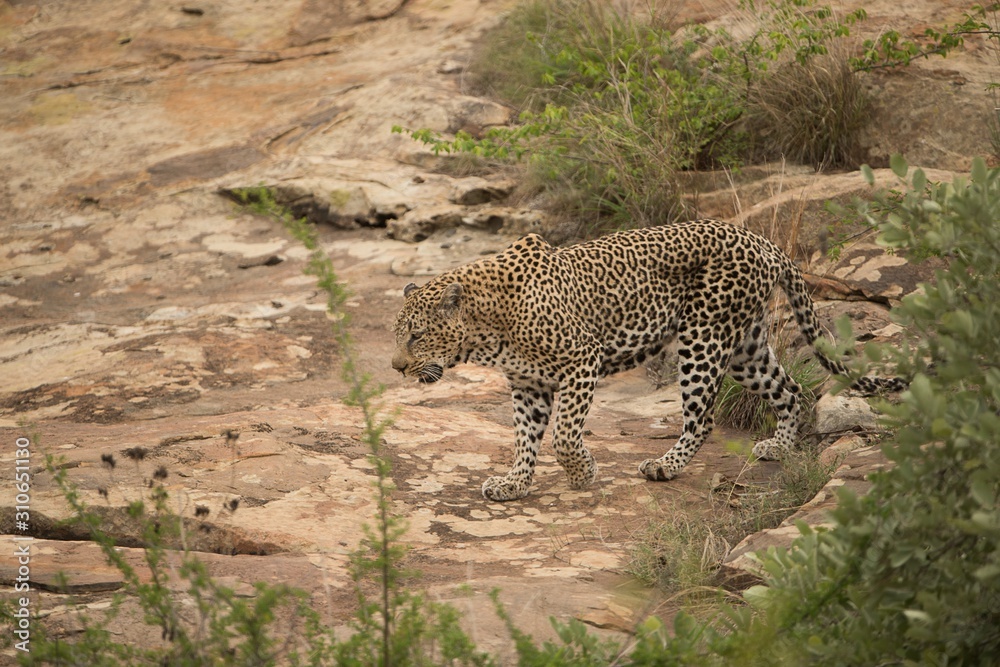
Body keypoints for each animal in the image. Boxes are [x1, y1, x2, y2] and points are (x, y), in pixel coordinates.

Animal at [390, 219, 908, 500]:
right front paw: (514, 483)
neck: (486, 327)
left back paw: (666, 465)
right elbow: (524, 437)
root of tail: (763, 241)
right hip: (745, 347)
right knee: (791, 388)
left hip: (703, 337)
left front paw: (583, 473)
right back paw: (779, 447)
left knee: (702, 418)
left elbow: (563, 434)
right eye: (398, 336)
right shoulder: (528, 384)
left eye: (417, 335)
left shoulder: (583, 359)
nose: (397, 368)